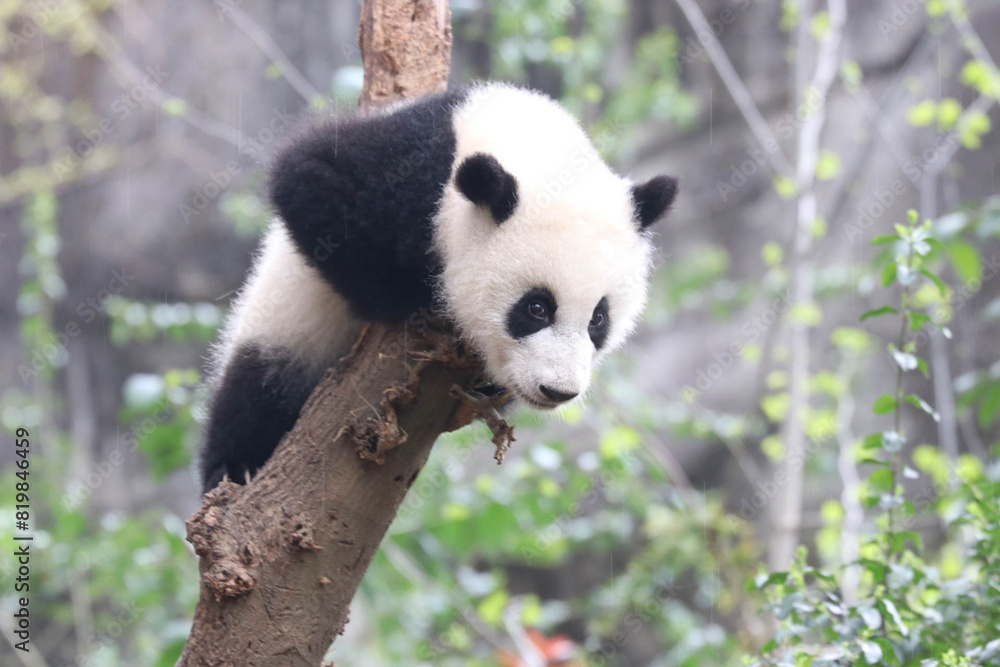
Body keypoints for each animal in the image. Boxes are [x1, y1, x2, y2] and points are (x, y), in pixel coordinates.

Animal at [199, 82, 677, 492]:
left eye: (599, 318)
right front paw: (415, 296)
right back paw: (235, 468)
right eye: (537, 308)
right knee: (256, 389)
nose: (557, 390)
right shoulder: (409, 168)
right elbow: (308, 173)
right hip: (284, 326)